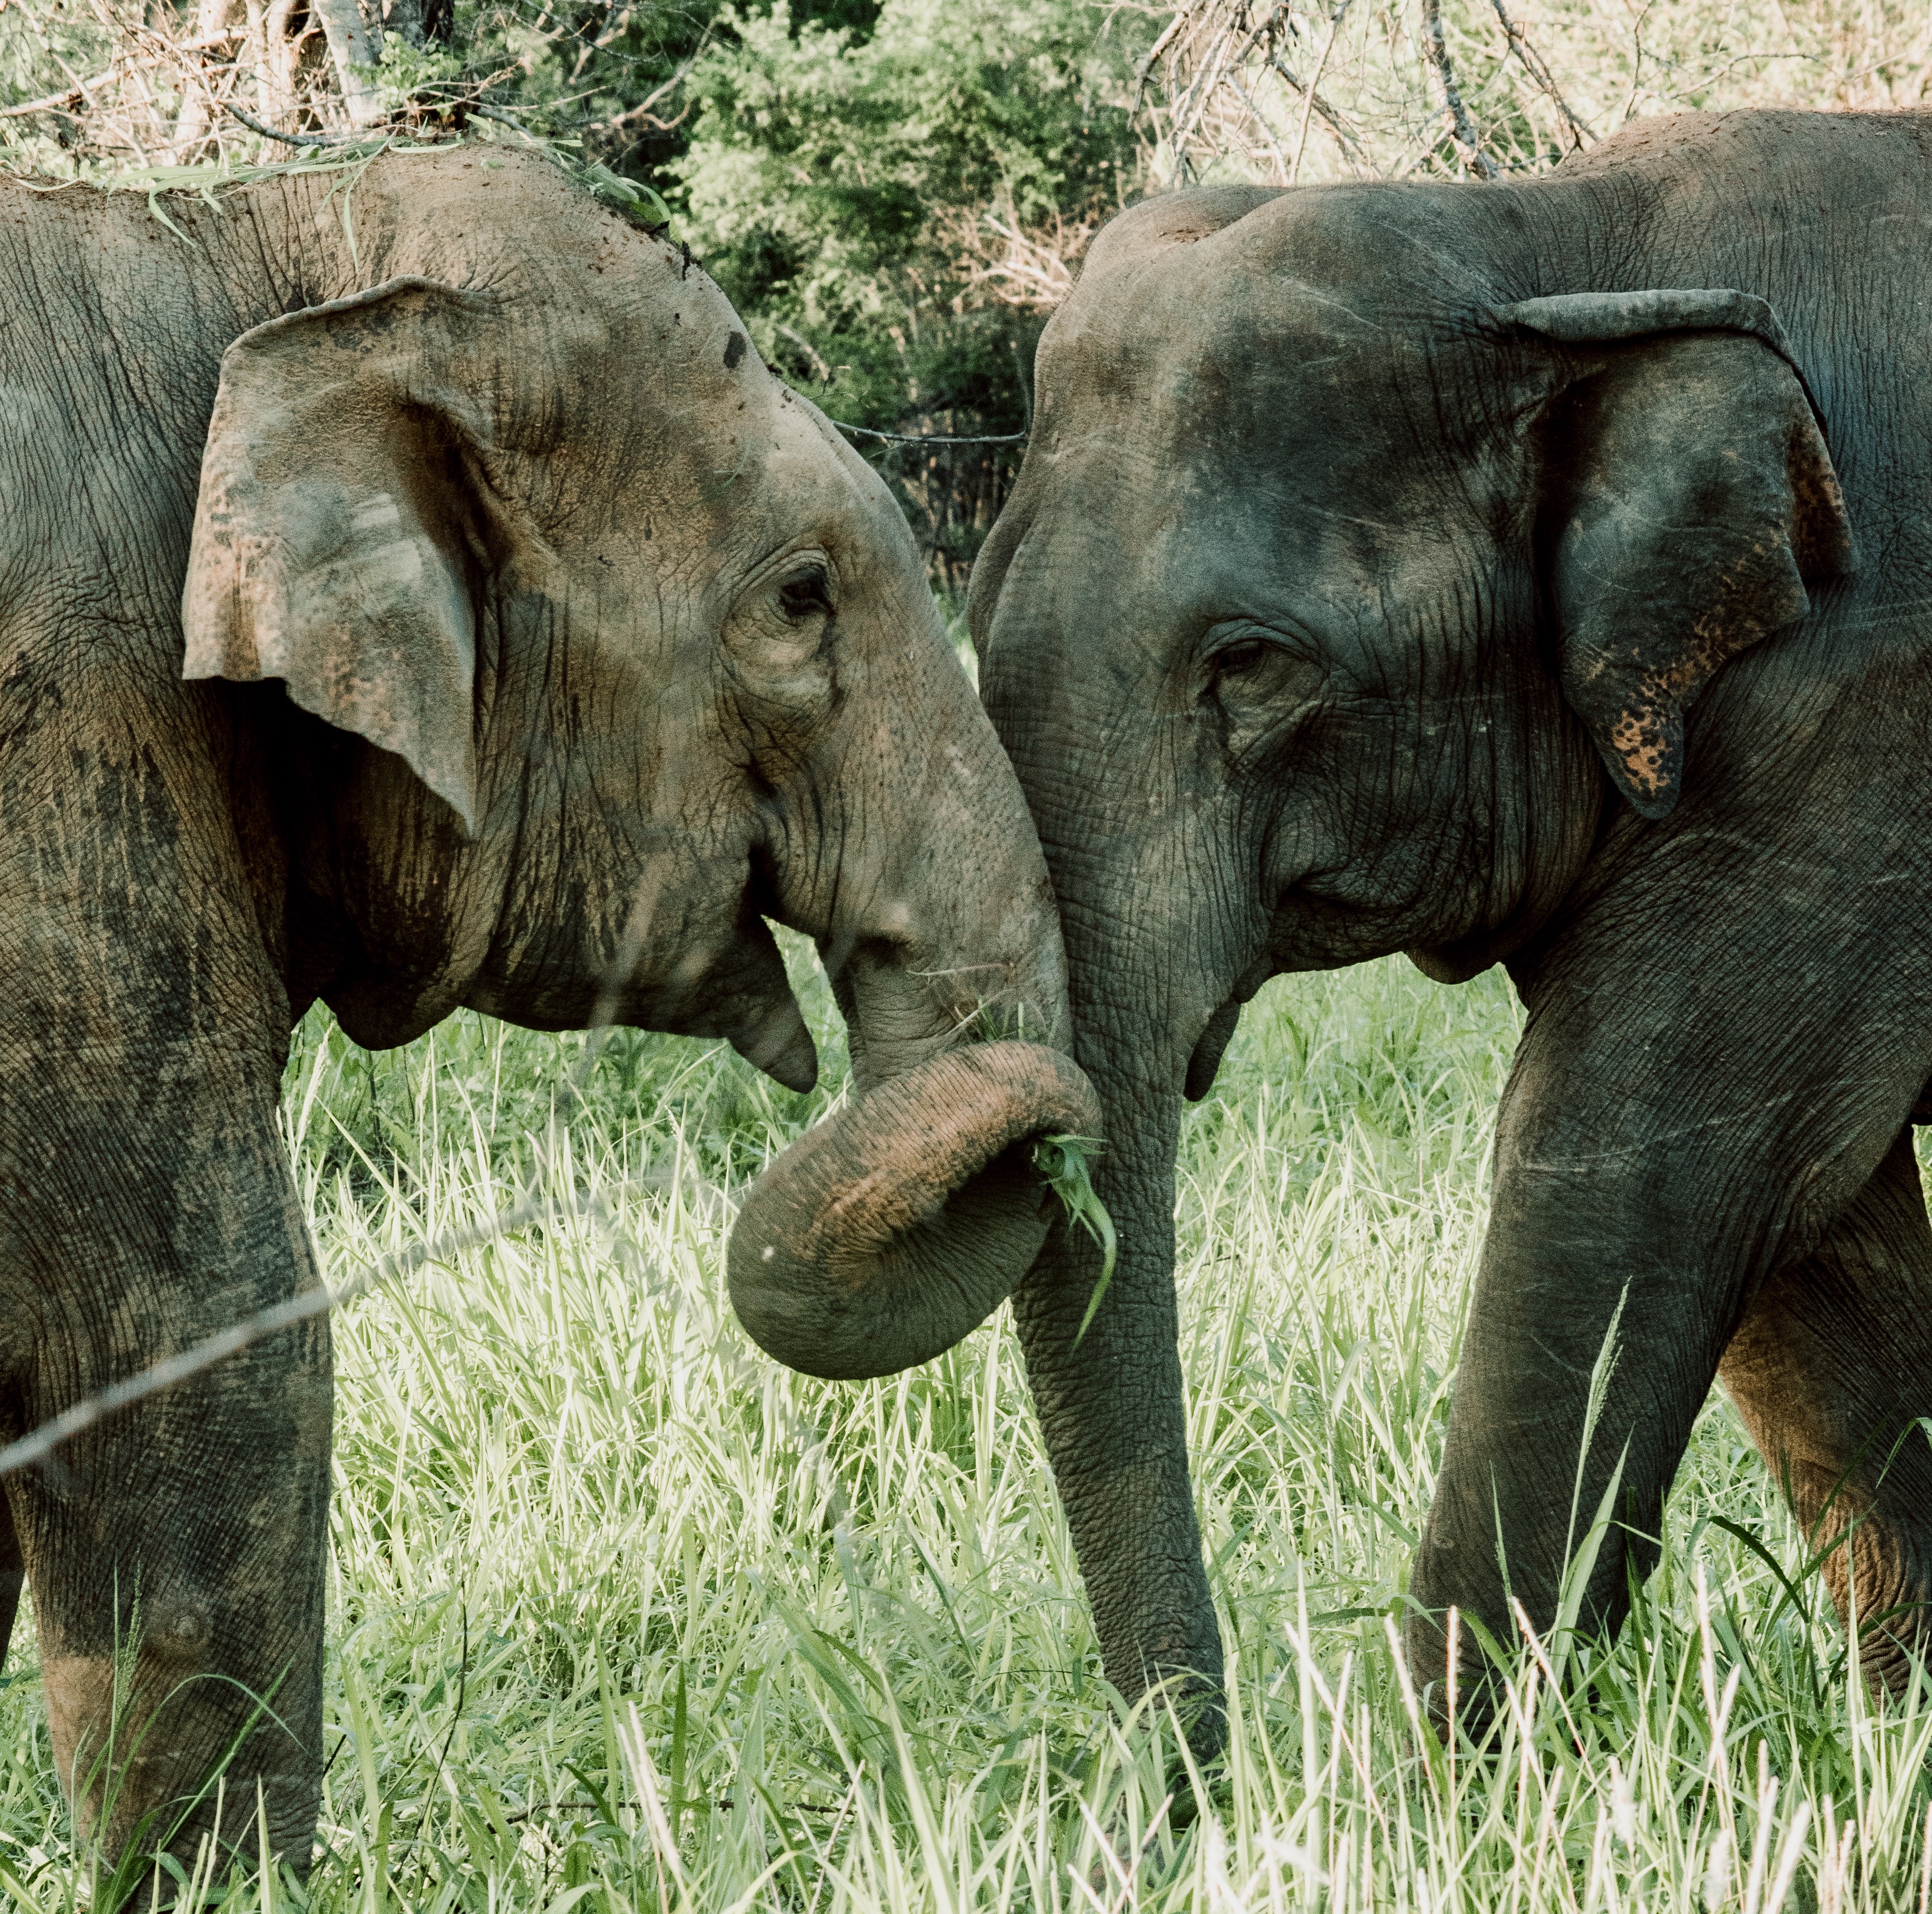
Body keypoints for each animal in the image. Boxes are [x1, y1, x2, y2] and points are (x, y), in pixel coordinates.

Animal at [969, 107, 1932, 1737]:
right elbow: (1812, 1233)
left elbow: (1642, 1164)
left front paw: (1460, 1776)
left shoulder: (1848, 722)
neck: (1546, 241)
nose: (1203, 1778)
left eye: (1252, 666)